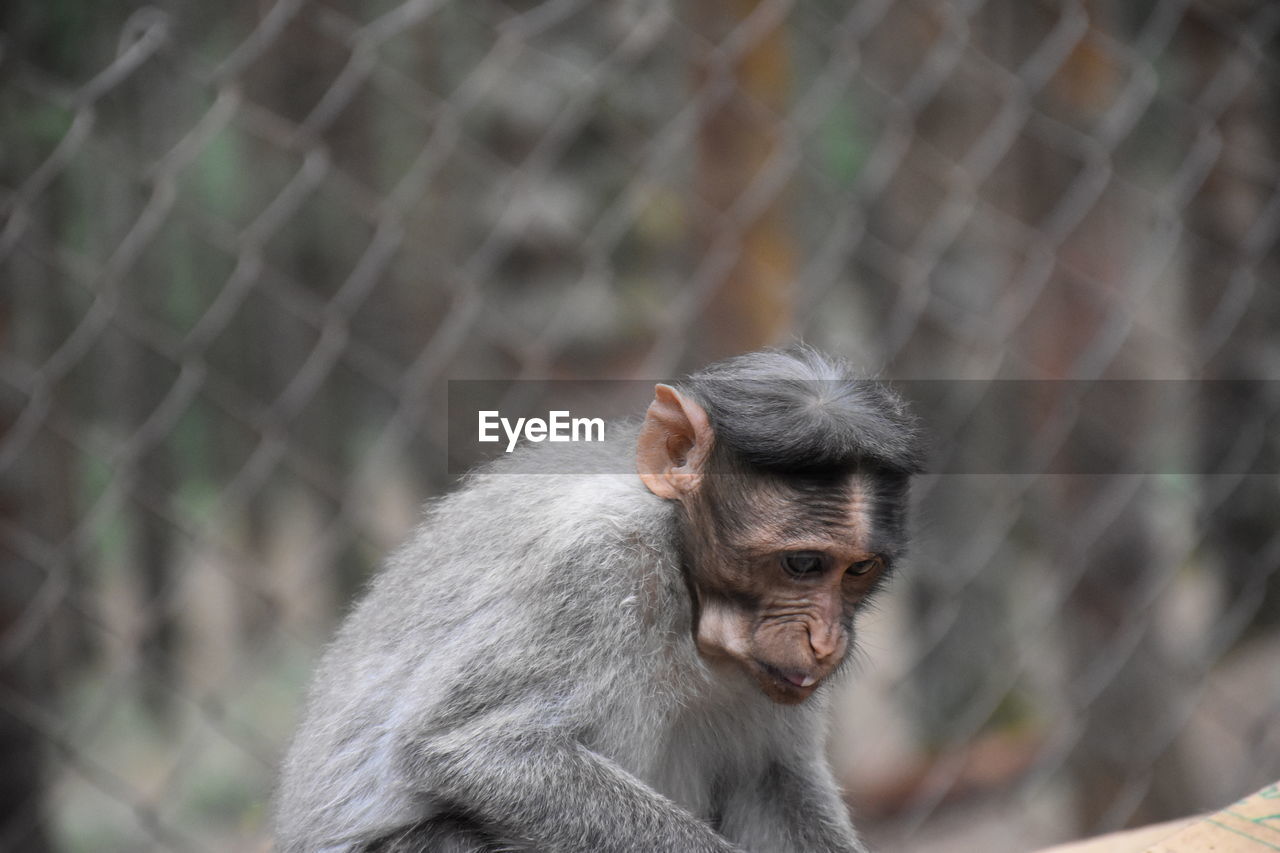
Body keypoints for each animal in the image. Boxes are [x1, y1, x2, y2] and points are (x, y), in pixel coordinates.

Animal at [277, 345, 921, 850]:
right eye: (803, 564)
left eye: (859, 570)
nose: (826, 639)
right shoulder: (598, 568)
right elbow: (470, 749)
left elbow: (774, 779)